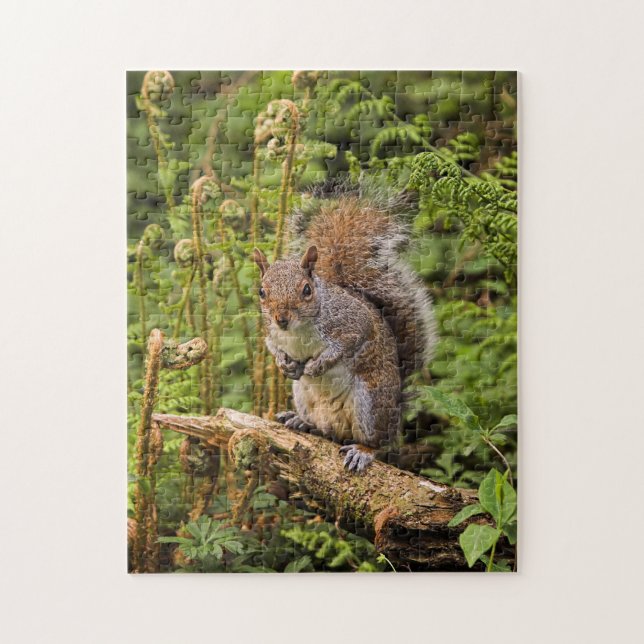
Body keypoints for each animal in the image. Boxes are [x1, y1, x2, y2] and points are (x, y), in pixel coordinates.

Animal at [253, 181, 436, 473]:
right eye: (262, 292)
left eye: (306, 290)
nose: (282, 318)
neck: (297, 330)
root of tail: (396, 412)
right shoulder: (271, 333)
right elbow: (272, 346)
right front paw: (284, 363)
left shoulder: (352, 322)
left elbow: (347, 343)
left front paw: (318, 365)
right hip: (304, 396)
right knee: (325, 430)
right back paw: (301, 421)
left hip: (370, 404)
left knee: (377, 442)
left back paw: (363, 450)